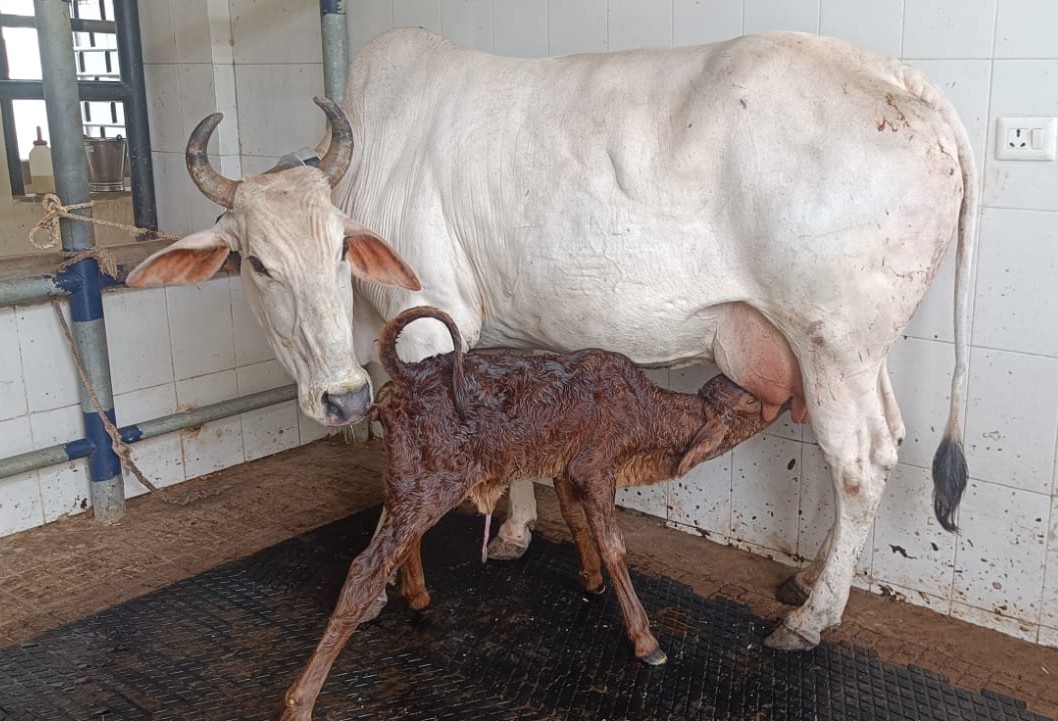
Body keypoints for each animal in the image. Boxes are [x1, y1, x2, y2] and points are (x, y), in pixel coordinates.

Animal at [125, 29, 976, 656]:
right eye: (256, 262)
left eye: (340, 248)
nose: (341, 396)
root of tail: (894, 76)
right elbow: (512, 435)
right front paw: (516, 531)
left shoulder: (430, 317)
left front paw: (377, 594)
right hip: (863, 348)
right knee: (889, 437)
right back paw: (808, 578)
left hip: (832, 338)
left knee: (861, 460)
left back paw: (810, 617)